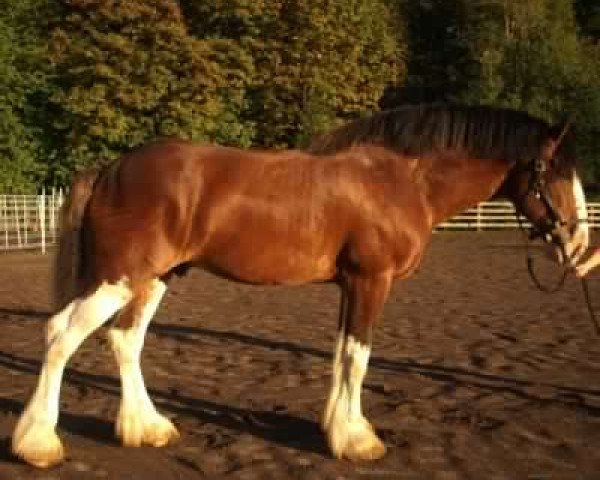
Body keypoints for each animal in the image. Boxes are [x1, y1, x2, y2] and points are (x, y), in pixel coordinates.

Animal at [11, 103, 588, 466]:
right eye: (555, 173)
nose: (579, 245)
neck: (402, 179)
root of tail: (110, 169)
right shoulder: (371, 281)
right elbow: (358, 357)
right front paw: (356, 441)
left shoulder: (351, 285)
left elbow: (342, 355)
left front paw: (339, 429)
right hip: (119, 278)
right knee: (61, 335)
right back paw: (39, 443)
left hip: (150, 280)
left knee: (124, 340)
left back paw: (146, 428)